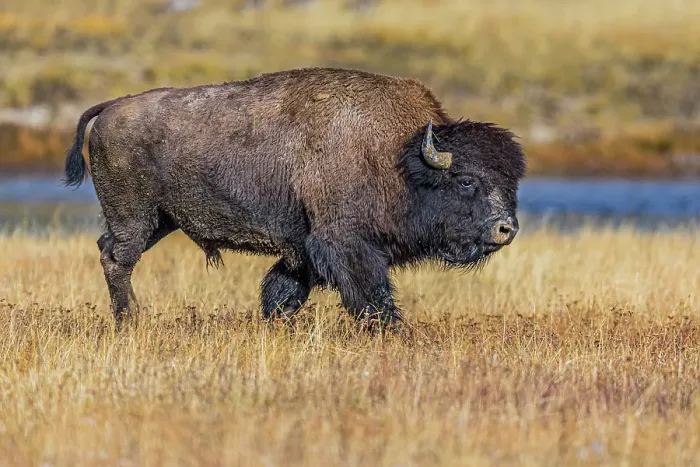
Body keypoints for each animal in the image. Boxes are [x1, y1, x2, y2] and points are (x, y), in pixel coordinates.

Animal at [64, 67, 525, 328]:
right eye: (465, 180)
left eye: (512, 180)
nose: (506, 228)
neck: (398, 157)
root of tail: (110, 107)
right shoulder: (345, 245)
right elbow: (372, 296)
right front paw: (392, 331)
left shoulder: (302, 251)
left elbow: (282, 291)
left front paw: (276, 324)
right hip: (135, 215)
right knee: (117, 259)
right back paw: (131, 320)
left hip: (162, 219)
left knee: (109, 250)